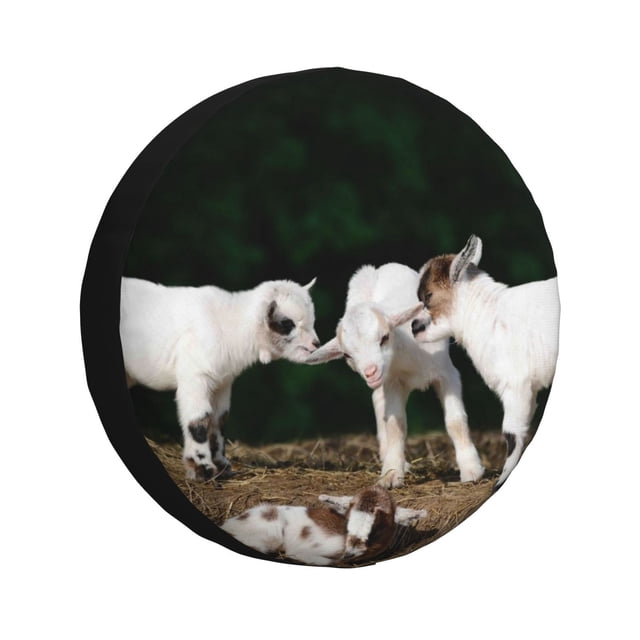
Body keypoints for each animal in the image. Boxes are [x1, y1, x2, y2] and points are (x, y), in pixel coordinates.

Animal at [120, 276, 320, 481]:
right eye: (287, 323)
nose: (316, 344)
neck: (229, 326)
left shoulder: (222, 383)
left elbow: (219, 420)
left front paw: (222, 466)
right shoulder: (195, 376)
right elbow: (199, 420)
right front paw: (202, 468)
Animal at [304, 263, 485, 488]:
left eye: (384, 337)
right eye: (346, 354)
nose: (370, 372)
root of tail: (382, 267)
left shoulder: (447, 374)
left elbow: (455, 421)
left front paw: (471, 469)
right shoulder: (392, 382)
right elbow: (394, 425)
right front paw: (391, 474)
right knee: (378, 402)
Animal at [413, 235, 560, 487]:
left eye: (429, 296)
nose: (414, 327)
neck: (489, 315)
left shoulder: (515, 384)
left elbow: (511, 433)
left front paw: (500, 482)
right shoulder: (528, 389)